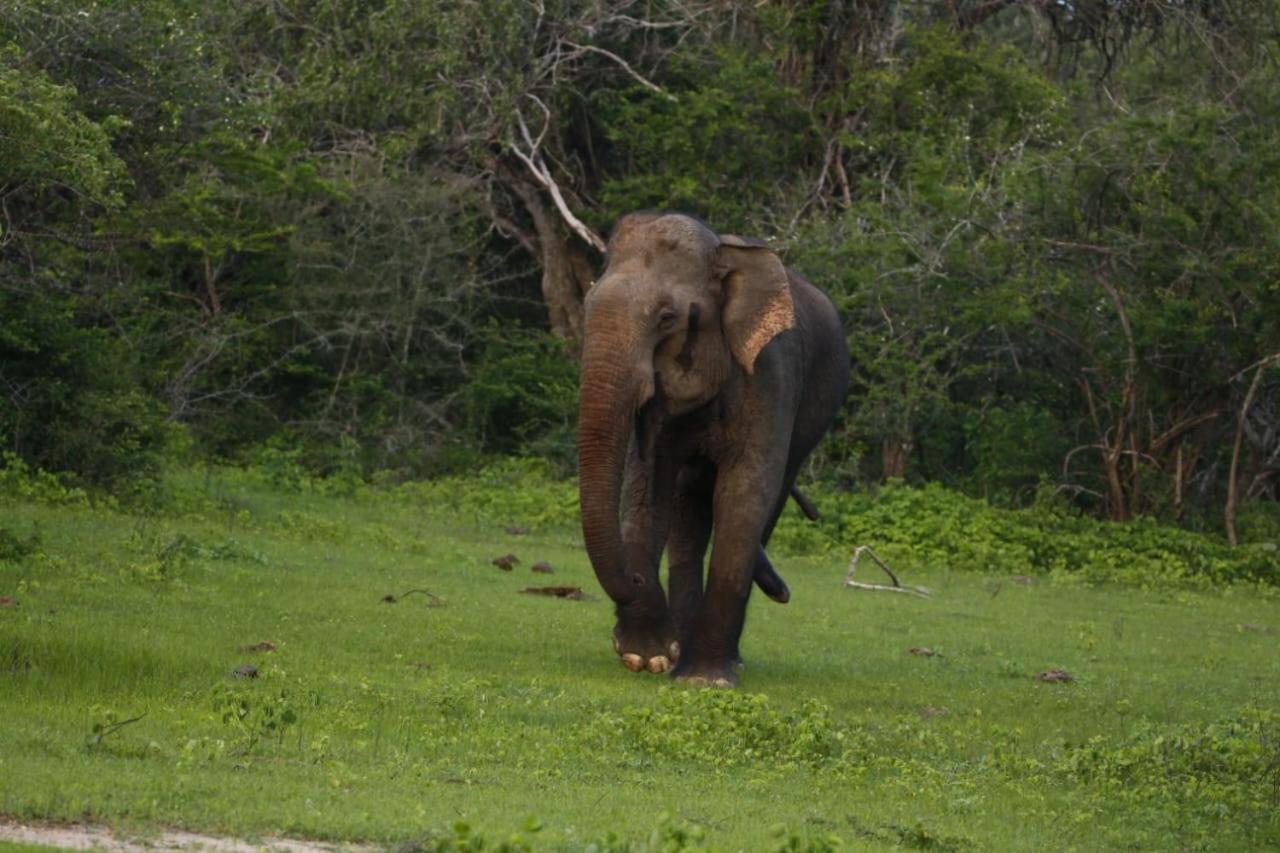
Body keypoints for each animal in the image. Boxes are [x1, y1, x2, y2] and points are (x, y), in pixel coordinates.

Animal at [581, 211, 849, 686]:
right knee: (689, 511)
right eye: (586, 307)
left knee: (767, 501)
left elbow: (742, 494)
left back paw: (720, 660)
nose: (635, 580)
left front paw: (705, 680)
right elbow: (648, 490)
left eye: (667, 317)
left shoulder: (770, 374)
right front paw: (649, 657)